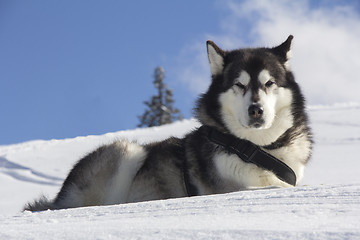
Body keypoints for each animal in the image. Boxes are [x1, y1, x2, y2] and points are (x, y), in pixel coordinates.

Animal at [25, 35, 312, 212]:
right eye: (239, 85)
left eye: (269, 83)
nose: (256, 110)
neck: (257, 148)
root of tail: (60, 196)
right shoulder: (229, 188)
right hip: (126, 150)